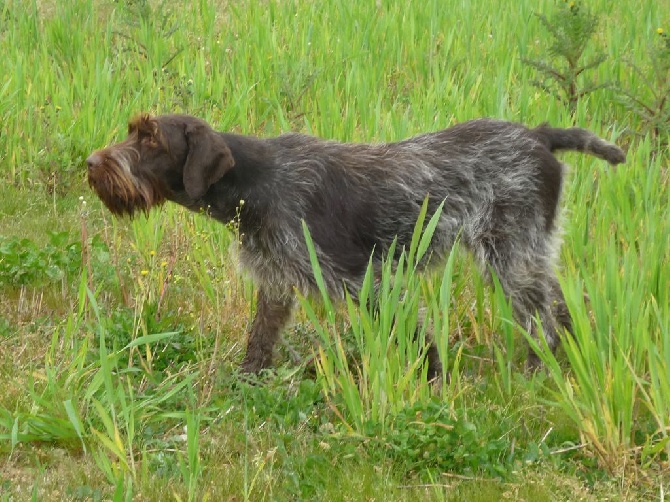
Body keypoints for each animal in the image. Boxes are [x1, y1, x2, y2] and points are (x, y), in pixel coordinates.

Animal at [86, 113, 628, 372]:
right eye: (134, 131)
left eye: (152, 140)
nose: (91, 163)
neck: (255, 181)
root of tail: (537, 135)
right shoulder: (277, 280)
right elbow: (259, 341)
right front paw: (243, 385)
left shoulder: (365, 278)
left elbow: (415, 338)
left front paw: (432, 381)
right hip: (525, 252)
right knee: (558, 305)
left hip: (510, 254)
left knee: (543, 318)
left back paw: (539, 368)